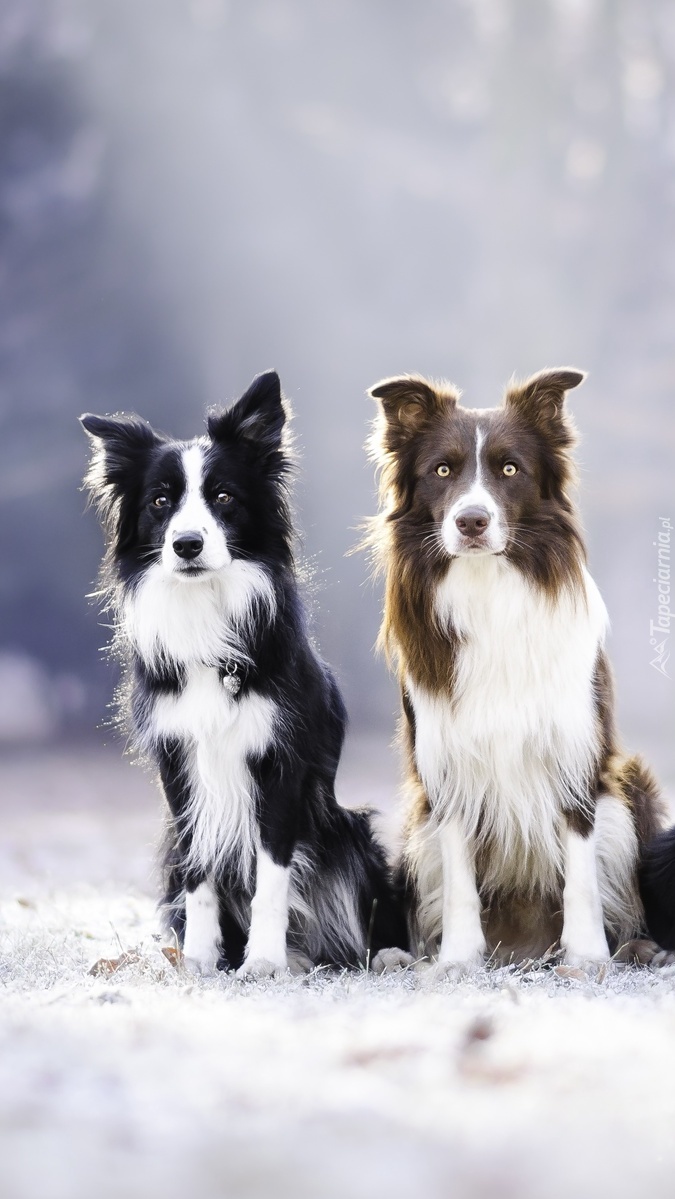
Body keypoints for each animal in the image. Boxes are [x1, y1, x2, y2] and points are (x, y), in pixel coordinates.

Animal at [79, 371, 407, 973]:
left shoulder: (280, 765)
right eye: (161, 501)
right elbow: (200, 872)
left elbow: (273, 876)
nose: (187, 545)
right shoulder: (180, 767)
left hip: (348, 831)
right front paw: (202, 960)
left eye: (224, 497)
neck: (208, 619)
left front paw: (264, 963)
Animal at [369, 369, 671, 968]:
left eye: (510, 469)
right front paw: (458, 959)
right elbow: (460, 874)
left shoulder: (575, 752)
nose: (472, 521)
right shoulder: (447, 761)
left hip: (632, 784)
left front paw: (587, 956)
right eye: (442, 470)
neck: (489, 587)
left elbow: (580, 868)